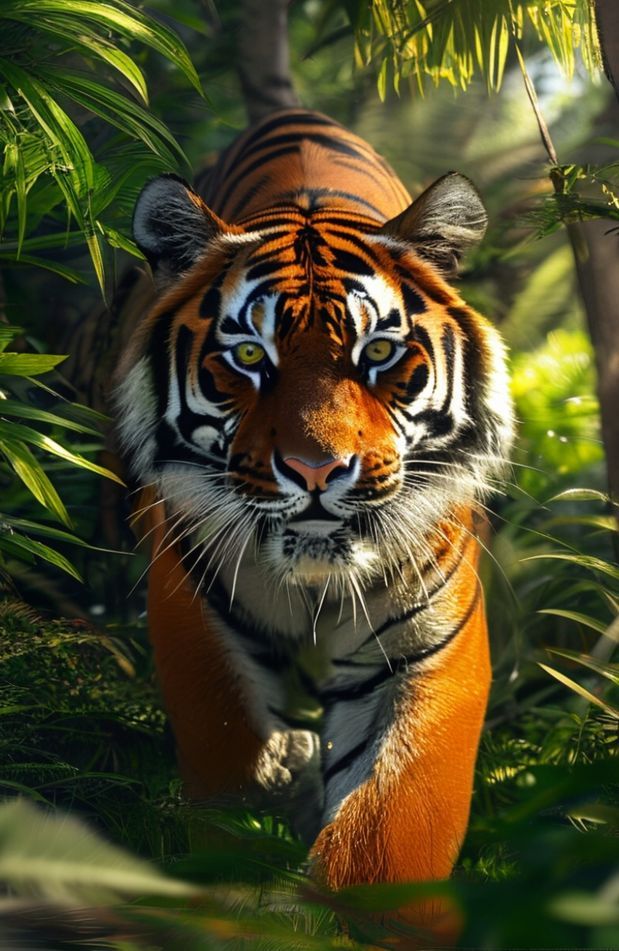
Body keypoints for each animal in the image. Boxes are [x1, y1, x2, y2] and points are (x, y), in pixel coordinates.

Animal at [115, 108, 513, 925]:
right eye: (247, 357)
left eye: (380, 351)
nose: (317, 470)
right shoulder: (196, 620)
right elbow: (234, 772)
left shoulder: (428, 652)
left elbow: (392, 826)